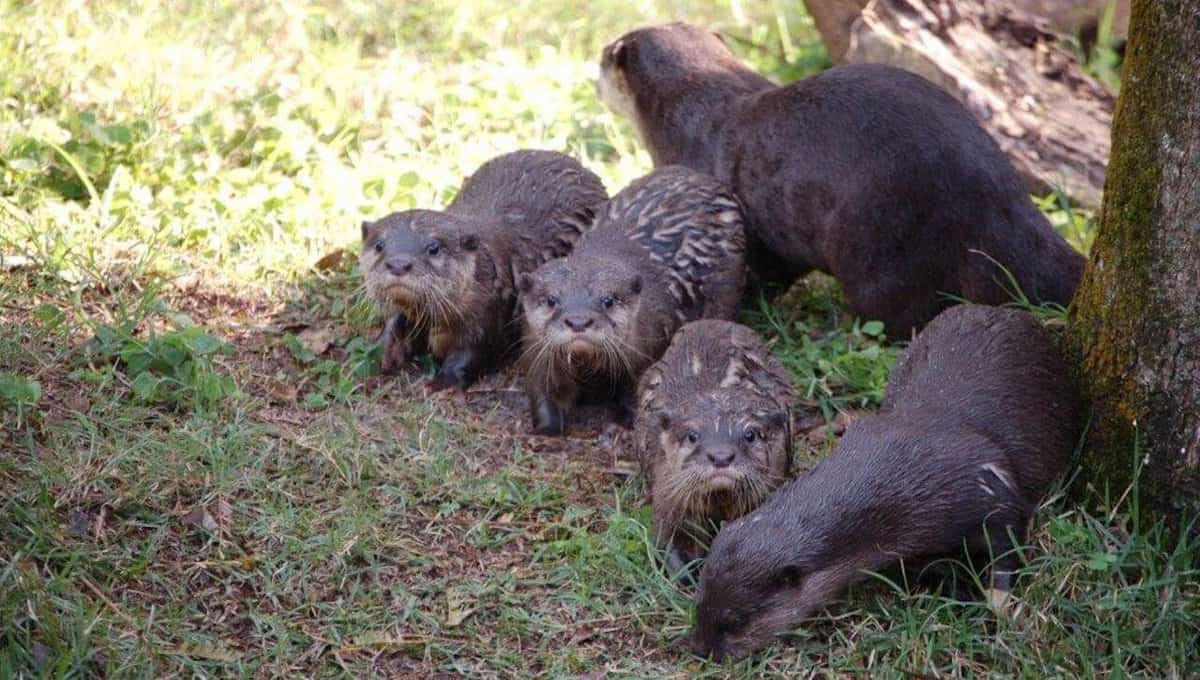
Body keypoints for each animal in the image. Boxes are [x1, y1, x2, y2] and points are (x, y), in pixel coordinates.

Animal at [360, 150, 606, 390]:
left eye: (433, 248)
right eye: (379, 245)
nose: (398, 264)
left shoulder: (490, 310)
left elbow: (474, 350)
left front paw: (442, 382)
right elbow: (395, 320)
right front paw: (382, 352)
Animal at [518, 166, 746, 435]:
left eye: (608, 300)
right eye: (551, 300)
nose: (578, 321)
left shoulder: (647, 349)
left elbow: (640, 392)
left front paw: (622, 427)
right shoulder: (537, 353)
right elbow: (542, 391)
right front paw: (546, 428)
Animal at [598, 23, 1086, 336]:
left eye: (605, 56)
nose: (595, 66)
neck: (690, 114)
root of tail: (998, 199)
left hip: (878, 238)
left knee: (896, 317)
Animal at [689, 304, 1083, 660]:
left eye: (736, 621)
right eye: (699, 602)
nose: (703, 649)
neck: (909, 468)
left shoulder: (988, 487)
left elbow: (1009, 542)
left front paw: (999, 602)